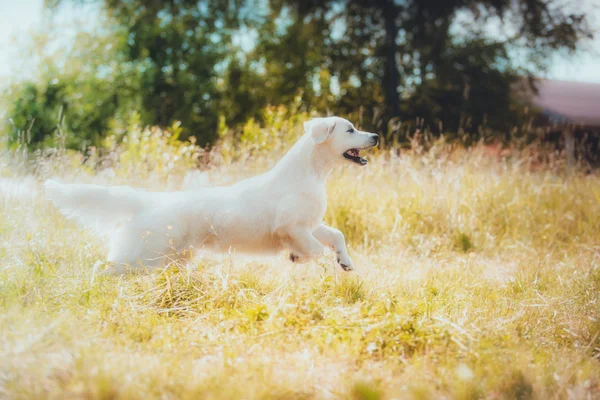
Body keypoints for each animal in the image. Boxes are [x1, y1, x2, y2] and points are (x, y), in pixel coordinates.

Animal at [47, 115, 378, 272]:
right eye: (350, 130)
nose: (375, 136)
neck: (311, 173)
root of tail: (149, 202)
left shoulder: (310, 224)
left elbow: (336, 235)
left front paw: (345, 262)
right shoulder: (291, 227)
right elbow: (317, 250)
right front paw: (299, 257)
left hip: (163, 259)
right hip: (141, 256)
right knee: (100, 269)